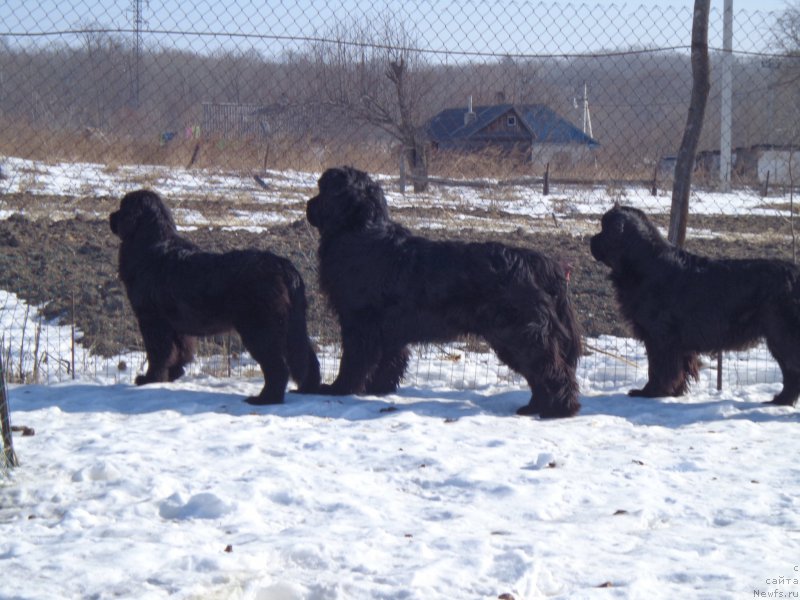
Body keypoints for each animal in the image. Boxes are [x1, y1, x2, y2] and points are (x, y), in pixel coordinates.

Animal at [110, 189, 322, 404]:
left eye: (122, 207)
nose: (111, 217)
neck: (151, 244)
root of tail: (283, 265)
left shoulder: (152, 321)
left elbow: (158, 354)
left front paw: (150, 380)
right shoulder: (177, 326)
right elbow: (180, 352)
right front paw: (173, 375)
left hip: (260, 329)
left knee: (278, 367)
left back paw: (264, 399)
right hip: (291, 327)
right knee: (308, 359)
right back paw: (307, 390)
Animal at [306, 164, 580, 418]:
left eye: (323, 189)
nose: (309, 205)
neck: (361, 230)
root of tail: (534, 260)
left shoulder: (359, 321)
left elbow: (353, 360)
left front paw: (338, 389)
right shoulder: (390, 329)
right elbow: (389, 362)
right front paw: (377, 390)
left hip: (519, 334)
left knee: (553, 370)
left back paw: (559, 410)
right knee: (540, 373)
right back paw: (533, 407)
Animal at [588, 204, 800, 406]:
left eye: (604, 228)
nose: (591, 240)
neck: (645, 264)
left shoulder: (660, 335)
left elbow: (658, 367)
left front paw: (651, 392)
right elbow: (679, 369)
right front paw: (674, 392)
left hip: (783, 335)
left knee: (792, 369)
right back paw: (781, 400)